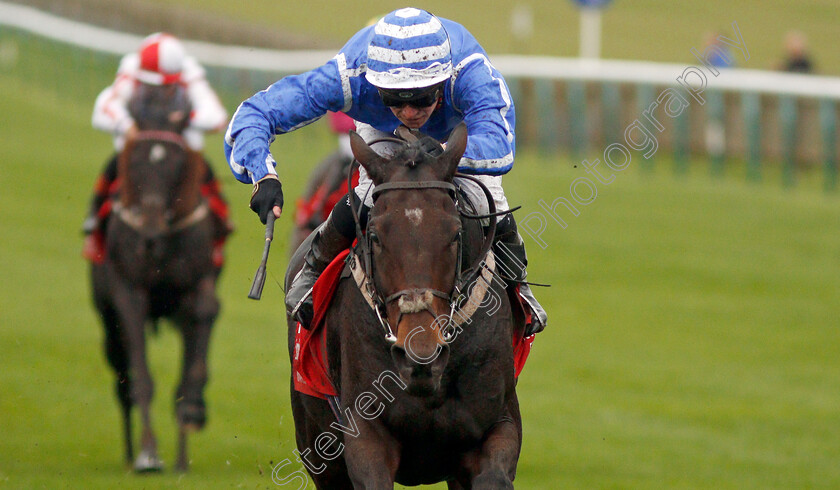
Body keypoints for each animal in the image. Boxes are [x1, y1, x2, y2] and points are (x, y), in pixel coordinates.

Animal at [90, 82, 220, 472]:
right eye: (134, 159)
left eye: (176, 162)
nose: (149, 232)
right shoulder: (129, 292)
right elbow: (141, 379)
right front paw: (149, 453)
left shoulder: (196, 287)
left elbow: (193, 367)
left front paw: (187, 429)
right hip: (107, 319)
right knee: (122, 381)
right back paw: (131, 452)